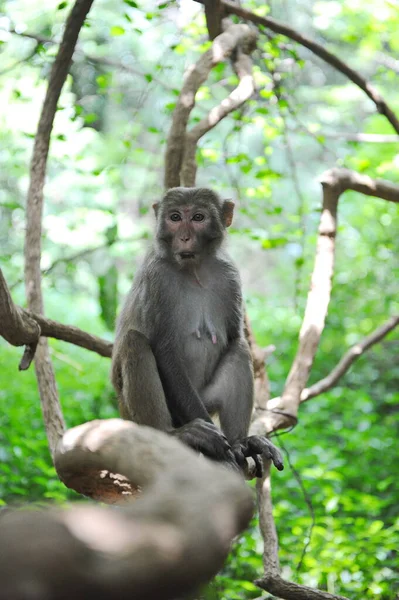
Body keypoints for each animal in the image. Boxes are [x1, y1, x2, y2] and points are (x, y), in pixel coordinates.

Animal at [111, 188, 282, 478]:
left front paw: (237, 446)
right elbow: (164, 349)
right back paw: (174, 435)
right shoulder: (157, 278)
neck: (194, 269)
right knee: (134, 342)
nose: (184, 237)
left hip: (205, 398)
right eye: (175, 217)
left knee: (239, 350)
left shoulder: (229, 276)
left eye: (198, 218)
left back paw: (242, 443)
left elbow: (234, 338)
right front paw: (217, 447)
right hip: (137, 413)